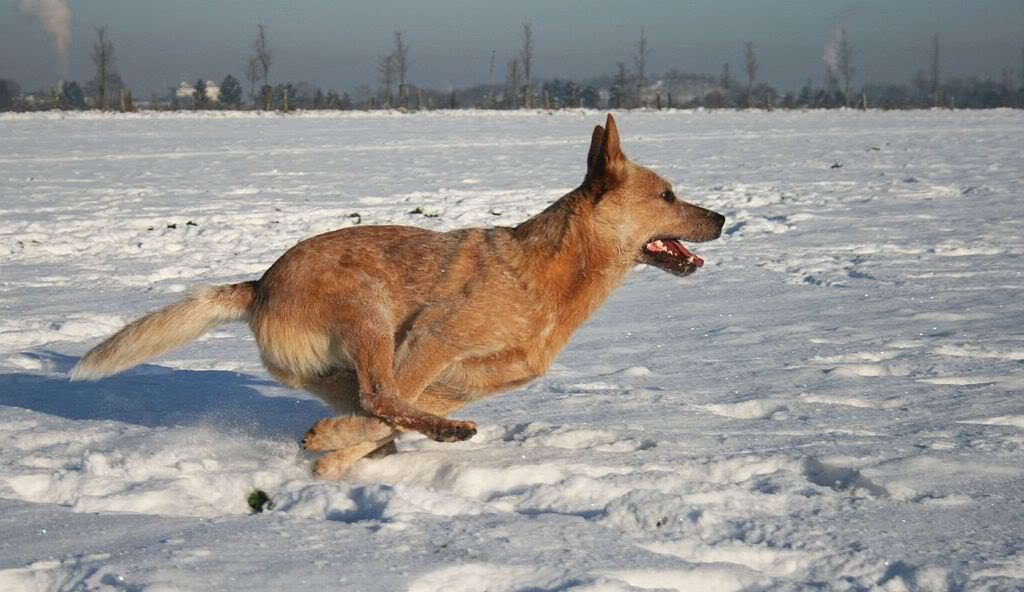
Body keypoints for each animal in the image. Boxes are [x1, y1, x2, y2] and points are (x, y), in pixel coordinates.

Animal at [72, 112, 724, 477]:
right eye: (667, 195)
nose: (720, 218)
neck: (549, 277)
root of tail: (259, 286)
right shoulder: (432, 339)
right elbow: (384, 406)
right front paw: (332, 446)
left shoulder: (459, 381)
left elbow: (382, 419)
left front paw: (333, 458)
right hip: (370, 310)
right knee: (378, 393)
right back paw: (434, 435)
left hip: (343, 356)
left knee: (373, 402)